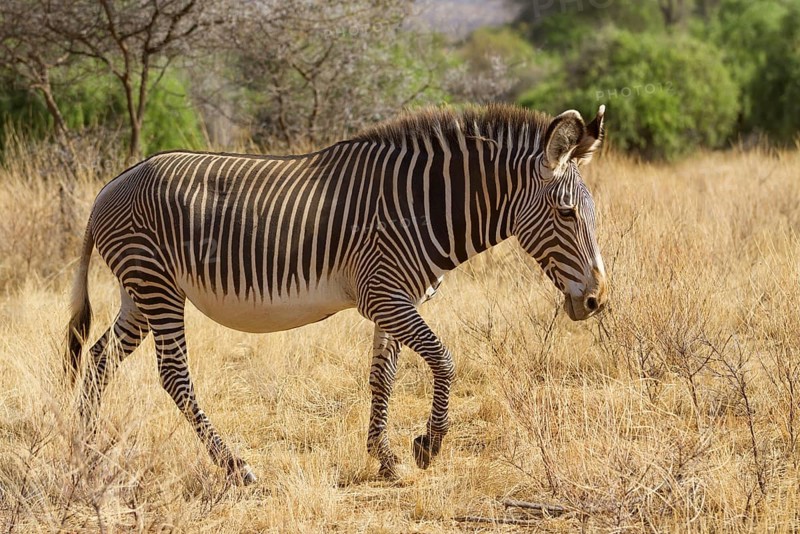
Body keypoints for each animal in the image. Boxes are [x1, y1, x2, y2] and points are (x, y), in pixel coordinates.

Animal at [66, 103, 608, 485]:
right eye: (566, 214)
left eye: (590, 212)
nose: (597, 301)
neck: (420, 208)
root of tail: (107, 188)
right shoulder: (384, 295)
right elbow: (444, 358)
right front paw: (428, 444)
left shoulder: (395, 299)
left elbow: (382, 376)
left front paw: (385, 458)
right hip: (156, 285)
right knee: (173, 375)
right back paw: (235, 466)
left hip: (140, 292)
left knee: (98, 359)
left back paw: (88, 454)